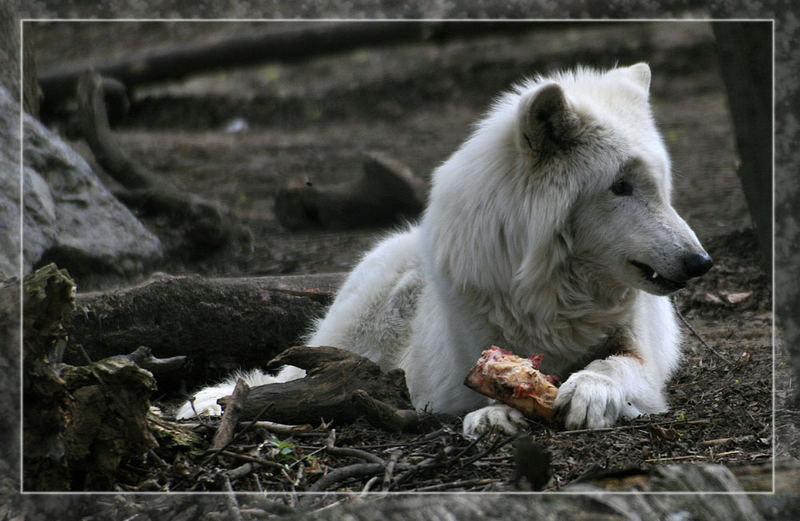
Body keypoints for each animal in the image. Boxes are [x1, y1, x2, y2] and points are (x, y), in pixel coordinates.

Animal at [178, 62, 708, 434]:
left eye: (659, 186)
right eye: (620, 187)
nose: (699, 262)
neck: (552, 293)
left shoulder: (639, 349)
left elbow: (616, 364)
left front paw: (591, 391)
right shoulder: (470, 352)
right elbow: (484, 384)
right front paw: (493, 414)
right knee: (291, 378)